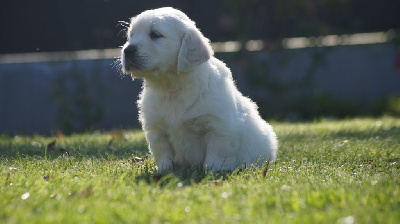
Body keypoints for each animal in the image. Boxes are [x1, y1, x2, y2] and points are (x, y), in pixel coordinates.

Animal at [121, 7, 278, 172]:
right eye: (130, 36)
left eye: (155, 34)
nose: (127, 50)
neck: (171, 86)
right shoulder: (156, 129)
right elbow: (163, 153)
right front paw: (165, 170)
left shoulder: (219, 126)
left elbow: (217, 153)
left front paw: (213, 171)